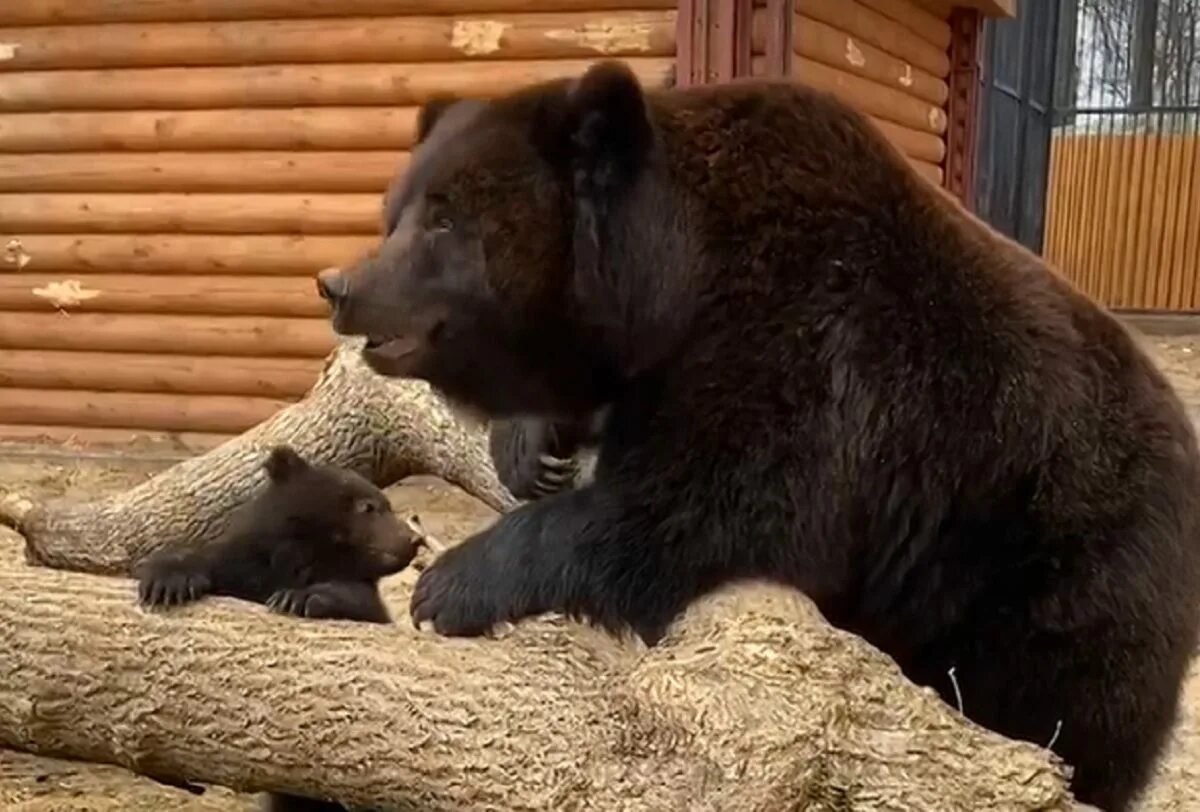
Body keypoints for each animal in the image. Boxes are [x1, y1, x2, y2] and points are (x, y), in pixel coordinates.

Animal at [316, 60, 1200, 806]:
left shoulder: (807, 340)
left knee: (1063, 704)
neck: (677, 281)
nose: (342, 285)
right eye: (397, 211)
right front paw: (533, 447)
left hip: (1052, 554)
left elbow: (708, 506)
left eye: (445, 219)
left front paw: (452, 583)